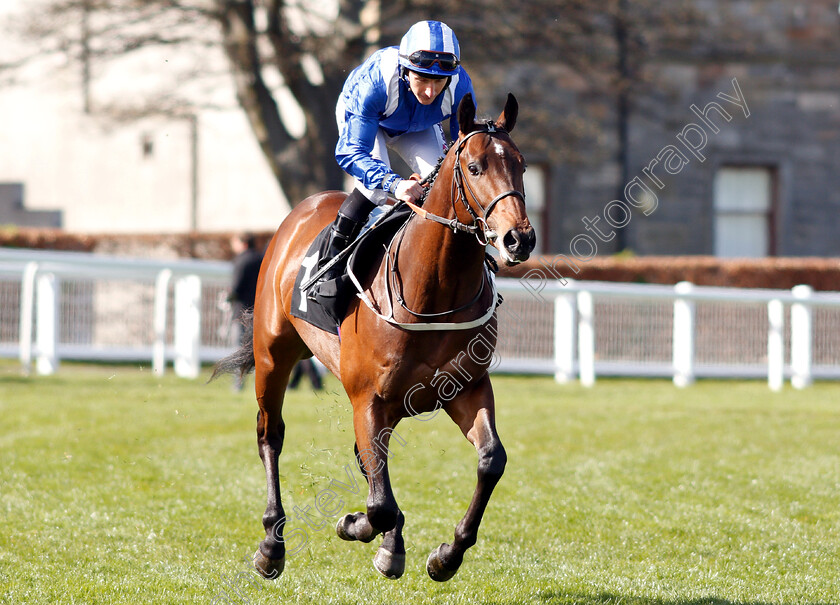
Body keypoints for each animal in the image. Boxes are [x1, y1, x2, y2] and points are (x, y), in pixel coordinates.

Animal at [213, 93, 536, 580]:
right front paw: (356, 525)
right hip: (273, 355)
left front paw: (446, 555)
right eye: (475, 167)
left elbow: (490, 460)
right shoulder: (368, 398)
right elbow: (378, 503)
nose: (519, 238)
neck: (434, 291)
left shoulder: (466, 388)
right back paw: (272, 543)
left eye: (521, 164)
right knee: (270, 435)